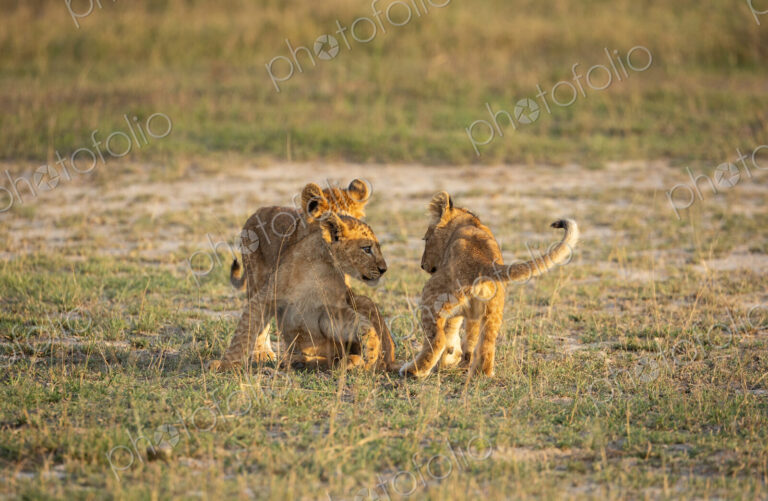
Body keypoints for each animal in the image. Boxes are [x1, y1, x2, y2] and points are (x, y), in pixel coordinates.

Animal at [211, 209, 394, 372]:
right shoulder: (265, 297)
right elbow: (242, 334)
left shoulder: (331, 311)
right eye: (367, 249)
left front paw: (371, 352)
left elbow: (363, 326)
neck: (320, 266)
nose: (384, 269)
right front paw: (225, 364)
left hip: (359, 301)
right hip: (254, 279)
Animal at [399, 192, 579, 378]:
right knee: (487, 343)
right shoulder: (469, 313)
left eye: (426, 239)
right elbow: (465, 335)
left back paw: (412, 371)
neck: (467, 222)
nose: (422, 265)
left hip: (430, 294)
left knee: (437, 340)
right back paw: (482, 373)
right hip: (494, 309)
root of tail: (483, 262)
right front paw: (453, 359)